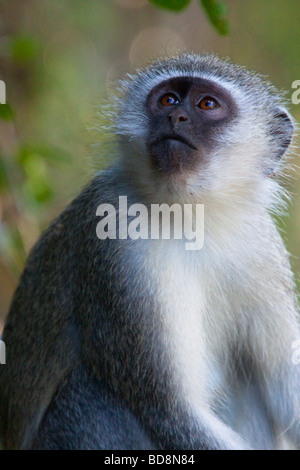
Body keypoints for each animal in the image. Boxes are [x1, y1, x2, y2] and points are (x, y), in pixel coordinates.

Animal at [0, 53, 300, 450]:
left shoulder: (261, 245)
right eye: (168, 100)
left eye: (207, 105)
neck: (193, 217)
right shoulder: (117, 244)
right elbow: (169, 411)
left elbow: (285, 388)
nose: (176, 117)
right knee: (90, 394)